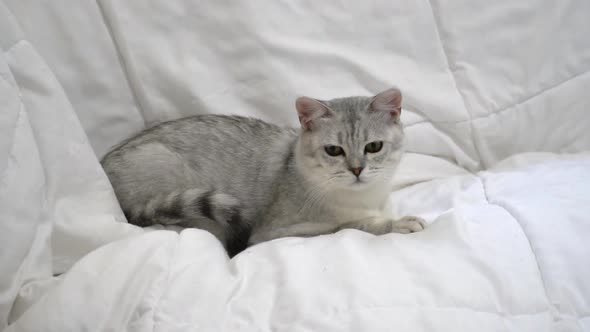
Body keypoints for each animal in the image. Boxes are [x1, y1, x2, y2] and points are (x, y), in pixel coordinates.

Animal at [100, 87, 426, 256]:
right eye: (334, 150)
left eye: (374, 146)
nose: (357, 169)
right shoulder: (275, 233)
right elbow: (354, 225)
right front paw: (399, 223)